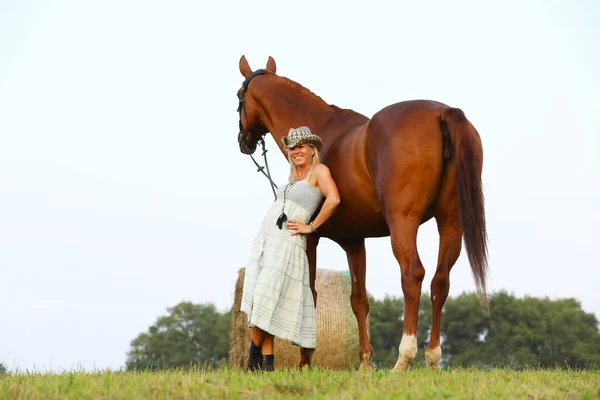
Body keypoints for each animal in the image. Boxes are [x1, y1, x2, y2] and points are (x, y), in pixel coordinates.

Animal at [234, 54, 488, 372]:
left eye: (238, 95)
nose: (243, 141)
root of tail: (442, 112)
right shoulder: (354, 241)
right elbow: (358, 300)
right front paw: (365, 362)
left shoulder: (311, 237)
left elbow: (311, 292)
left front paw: (305, 358)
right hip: (451, 224)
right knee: (440, 281)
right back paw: (432, 358)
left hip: (404, 224)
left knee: (413, 274)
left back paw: (403, 358)